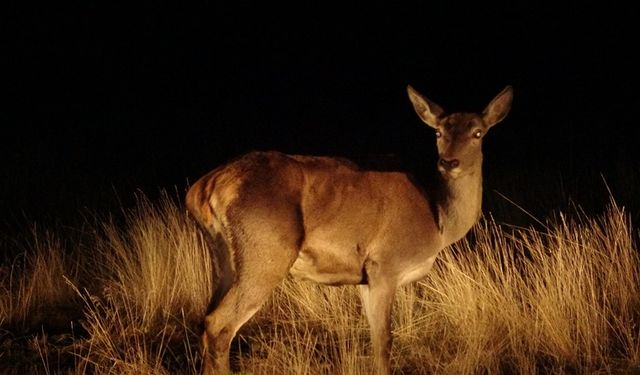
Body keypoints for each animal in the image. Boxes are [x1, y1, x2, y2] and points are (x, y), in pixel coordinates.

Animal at [186, 83, 516, 374]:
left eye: (478, 132)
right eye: (438, 131)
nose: (449, 162)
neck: (438, 222)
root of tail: (204, 188)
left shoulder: (365, 280)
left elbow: (374, 339)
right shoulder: (384, 266)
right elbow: (384, 343)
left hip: (225, 259)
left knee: (206, 319)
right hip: (265, 254)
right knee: (218, 325)